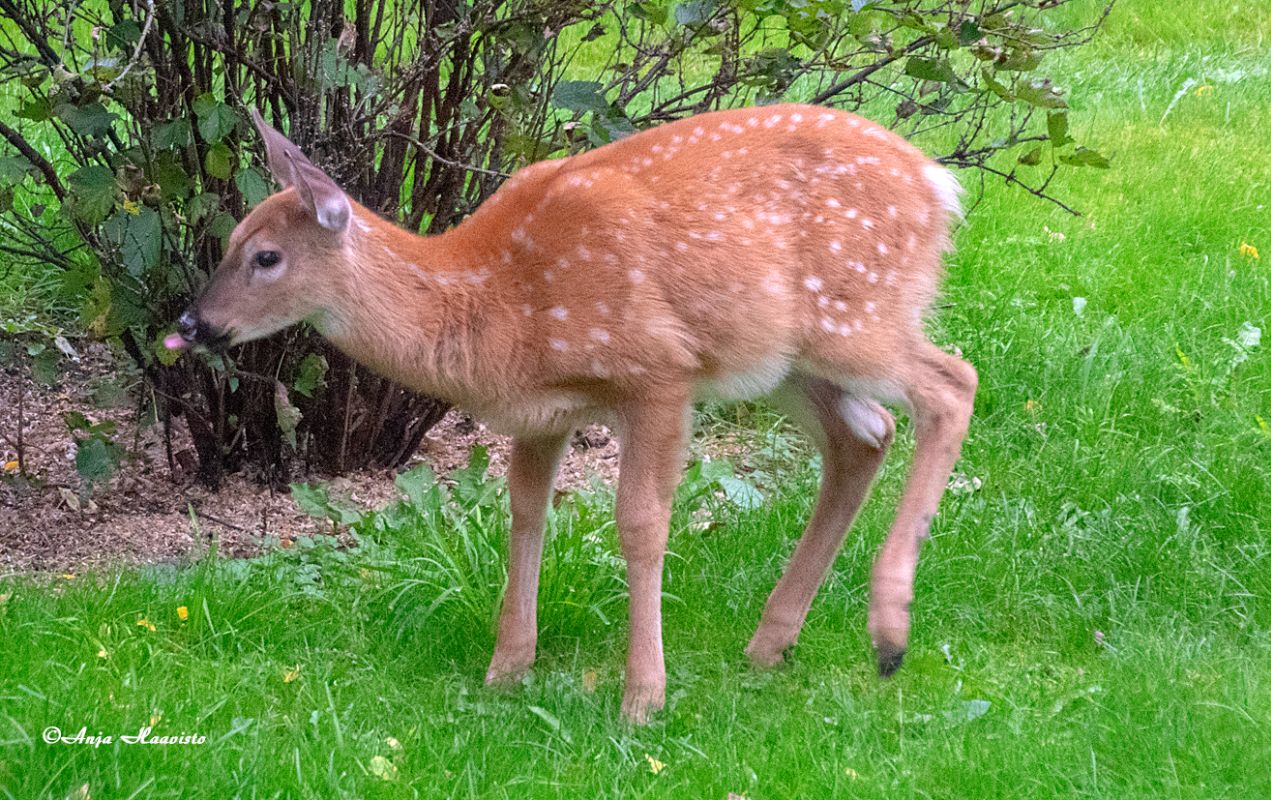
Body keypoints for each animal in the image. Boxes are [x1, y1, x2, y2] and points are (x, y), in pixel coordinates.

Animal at [167, 104, 977, 723]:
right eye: (231, 241)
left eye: (266, 257)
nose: (192, 323)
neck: (494, 308)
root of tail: (939, 186)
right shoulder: (543, 413)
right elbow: (527, 511)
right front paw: (506, 669)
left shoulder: (659, 372)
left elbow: (641, 524)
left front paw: (642, 698)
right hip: (786, 357)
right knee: (866, 434)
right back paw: (771, 644)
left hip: (855, 315)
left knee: (952, 383)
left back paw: (888, 633)